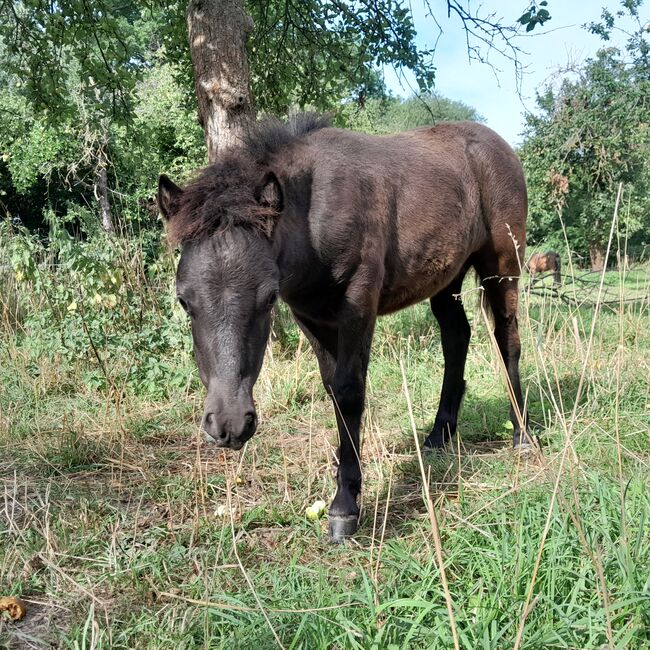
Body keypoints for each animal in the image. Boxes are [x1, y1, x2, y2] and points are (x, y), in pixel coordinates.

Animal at [157, 114, 528, 540]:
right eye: (184, 300)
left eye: (268, 297)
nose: (229, 424)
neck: (312, 217)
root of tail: (499, 144)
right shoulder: (312, 316)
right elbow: (334, 390)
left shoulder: (358, 302)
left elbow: (351, 392)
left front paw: (344, 507)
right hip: (446, 276)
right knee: (456, 336)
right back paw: (439, 434)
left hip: (503, 265)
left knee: (507, 337)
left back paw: (521, 433)